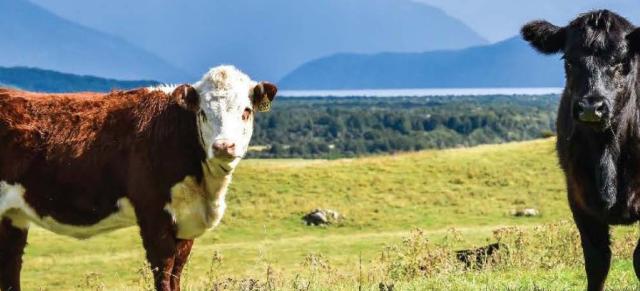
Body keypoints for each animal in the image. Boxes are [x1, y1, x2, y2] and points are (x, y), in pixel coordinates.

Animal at [0, 65, 278, 290]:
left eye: (246, 111)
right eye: (203, 113)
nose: (223, 146)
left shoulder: (185, 223)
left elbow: (177, 273)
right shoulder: (153, 214)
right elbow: (164, 273)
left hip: (13, 216)